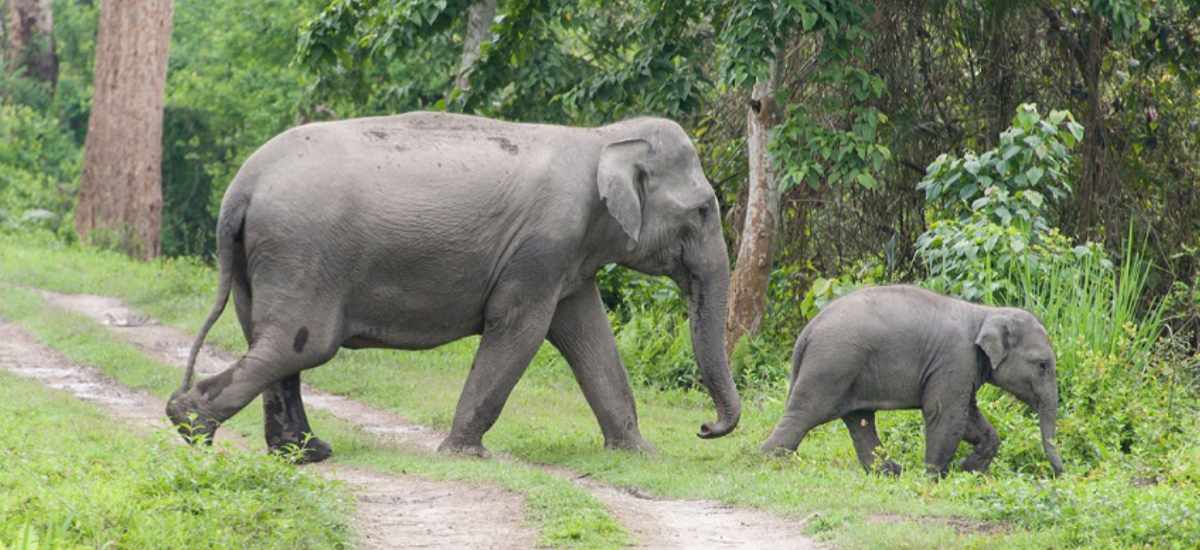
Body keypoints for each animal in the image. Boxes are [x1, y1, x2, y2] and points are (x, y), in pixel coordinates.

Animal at [165, 111, 741, 462]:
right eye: (703, 210)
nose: (705, 430)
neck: (602, 137)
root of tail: (241, 188)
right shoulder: (541, 247)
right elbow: (521, 332)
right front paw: (466, 454)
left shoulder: (568, 260)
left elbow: (588, 337)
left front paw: (639, 453)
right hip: (302, 252)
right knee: (295, 345)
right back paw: (190, 425)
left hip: (264, 261)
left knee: (270, 343)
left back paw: (306, 453)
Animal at [761, 285, 1064, 476]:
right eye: (1042, 365)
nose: (1060, 475)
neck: (985, 312)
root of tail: (807, 330)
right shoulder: (955, 359)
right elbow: (946, 414)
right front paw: (934, 477)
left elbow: (969, 416)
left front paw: (969, 471)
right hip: (831, 365)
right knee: (805, 413)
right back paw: (770, 462)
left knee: (860, 421)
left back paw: (890, 472)